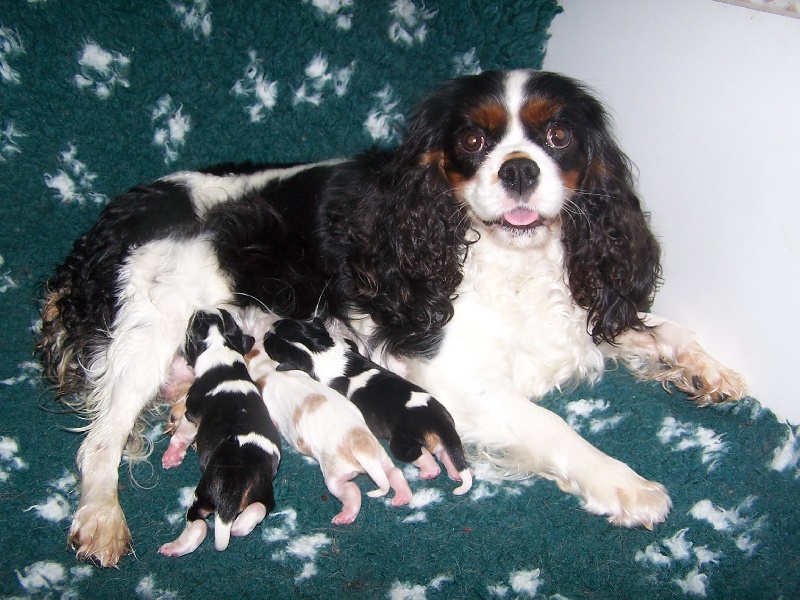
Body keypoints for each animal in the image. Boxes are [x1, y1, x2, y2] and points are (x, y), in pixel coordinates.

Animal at [158, 312, 280, 556]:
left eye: (193, 324)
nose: (198, 311)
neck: (222, 350)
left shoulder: (191, 413)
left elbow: (182, 434)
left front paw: (172, 455)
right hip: (264, 492)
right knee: (258, 509)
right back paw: (240, 526)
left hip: (203, 494)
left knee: (198, 527)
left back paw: (174, 547)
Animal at [266, 316, 472, 494]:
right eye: (285, 322)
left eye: (272, 346)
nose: (267, 333)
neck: (316, 348)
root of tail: (439, 421)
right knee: (445, 453)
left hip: (401, 441)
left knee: (419, 454)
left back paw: (429, 470)